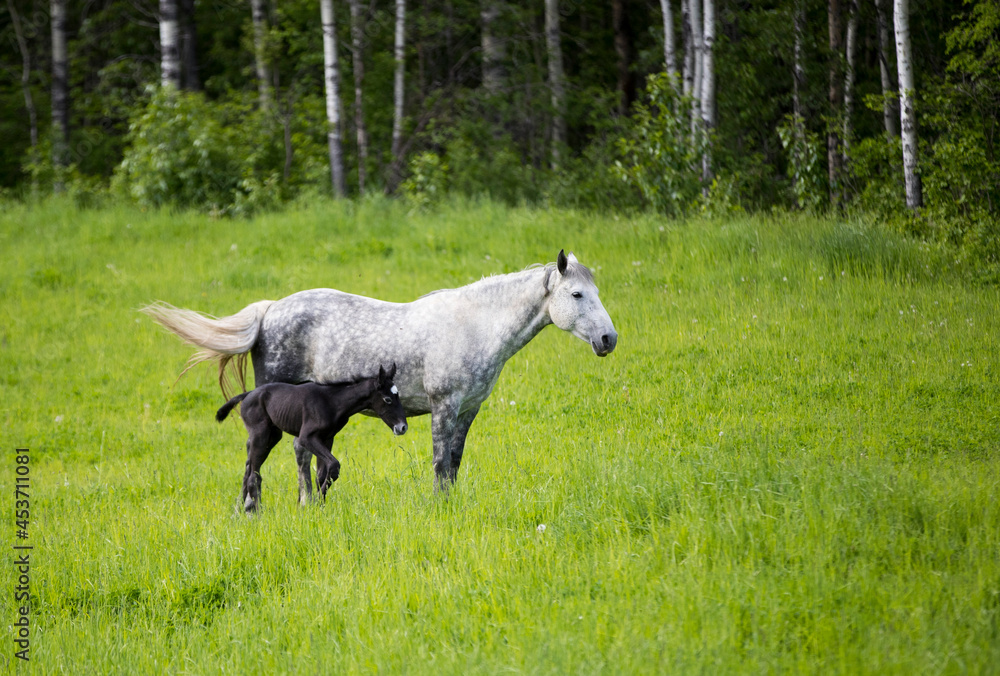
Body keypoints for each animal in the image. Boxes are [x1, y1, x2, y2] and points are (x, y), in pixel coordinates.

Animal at [145, 249, 618, 496]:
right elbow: (440, 463)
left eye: (596, 290)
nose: (608, 339)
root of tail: (270, 309)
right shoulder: (444, 407)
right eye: (577, 294)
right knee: (280, 457)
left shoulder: (468, 410)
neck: (474, 325)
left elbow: (455, 462)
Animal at [217, 364, 407, 512]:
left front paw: (320, 507)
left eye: (398, 396)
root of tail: (248, 394)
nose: (402, 427)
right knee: (253, 477)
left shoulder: (327, 438)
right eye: (387, 399)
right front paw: (315, 503)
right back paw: (256, 514)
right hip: (260, 435)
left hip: (273, 436)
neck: (332, 401)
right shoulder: (306, 438)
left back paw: (239, 513)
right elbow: (334, 466)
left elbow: (322, 474)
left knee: (249, 468)